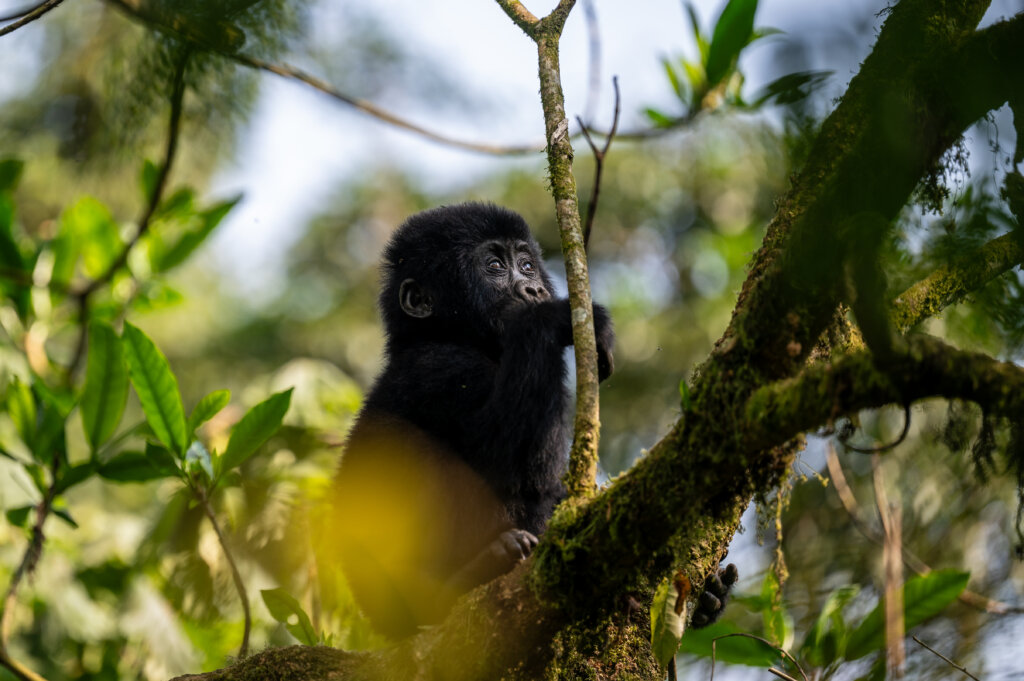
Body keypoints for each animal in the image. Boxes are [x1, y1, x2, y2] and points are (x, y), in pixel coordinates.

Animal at [327, 202, 729, 639]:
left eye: (526, 265)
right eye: (494, 266)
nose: (534, 289)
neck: (451, 335)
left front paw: (709, 593)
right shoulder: (439, 366)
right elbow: (509, 461)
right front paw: (550, 317)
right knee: (407, 449)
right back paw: (456, 586)